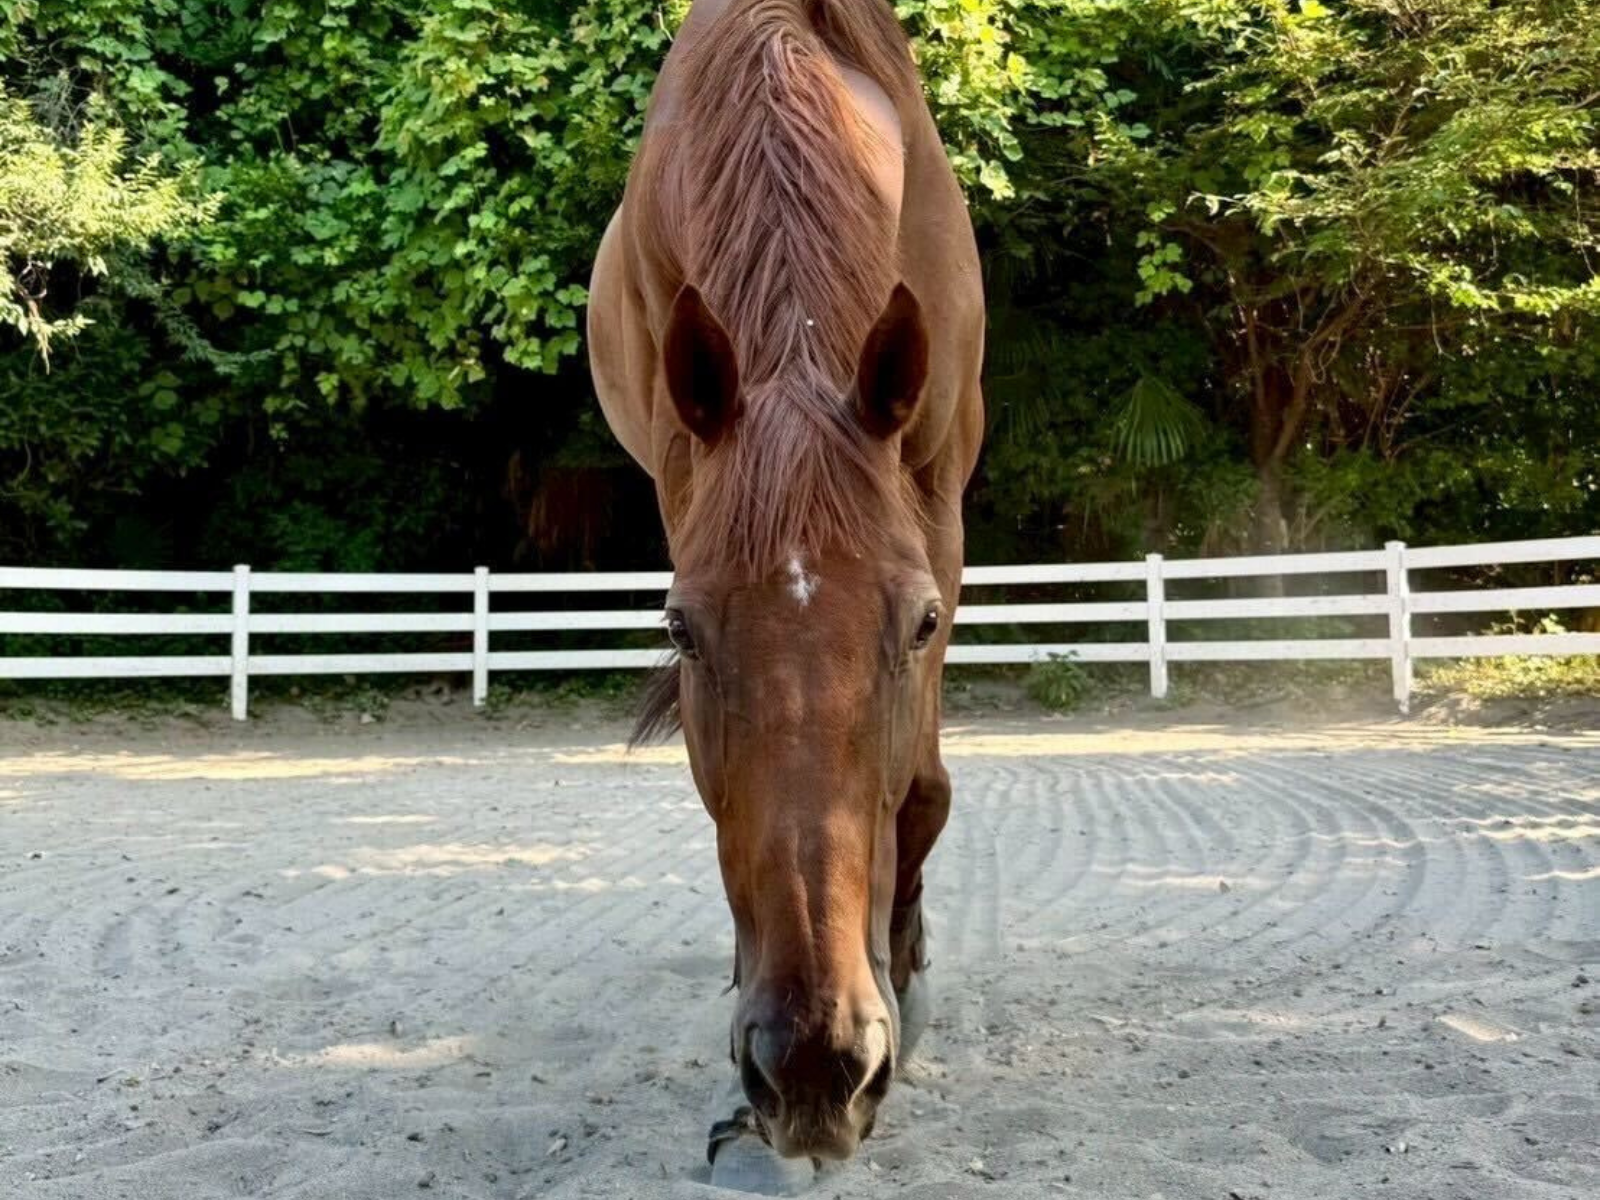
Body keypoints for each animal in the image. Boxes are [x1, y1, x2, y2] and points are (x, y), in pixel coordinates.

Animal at [588, 0, 985, 1186]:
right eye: (681, 628)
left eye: (921, 623)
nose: (814, 1067)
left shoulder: (937, 496)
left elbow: (923, 792)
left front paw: (907, 982)